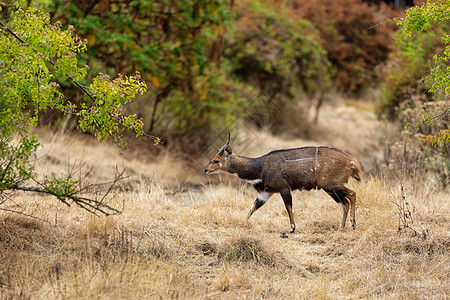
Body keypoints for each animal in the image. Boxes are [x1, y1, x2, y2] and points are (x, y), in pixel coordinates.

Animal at [206, 134, 360, 234]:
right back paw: (342, 228)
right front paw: (243, 223)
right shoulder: (264, 193)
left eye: (215, 160)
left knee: (352, 194)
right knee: (345, 202)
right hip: (329, 188)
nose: (206, 169)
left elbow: (288, 207)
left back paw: (353, 224)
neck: (260, 167)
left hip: (330, 185)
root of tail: (352, 161)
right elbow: (252, 208)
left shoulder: (284, 188)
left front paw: (292, 228)